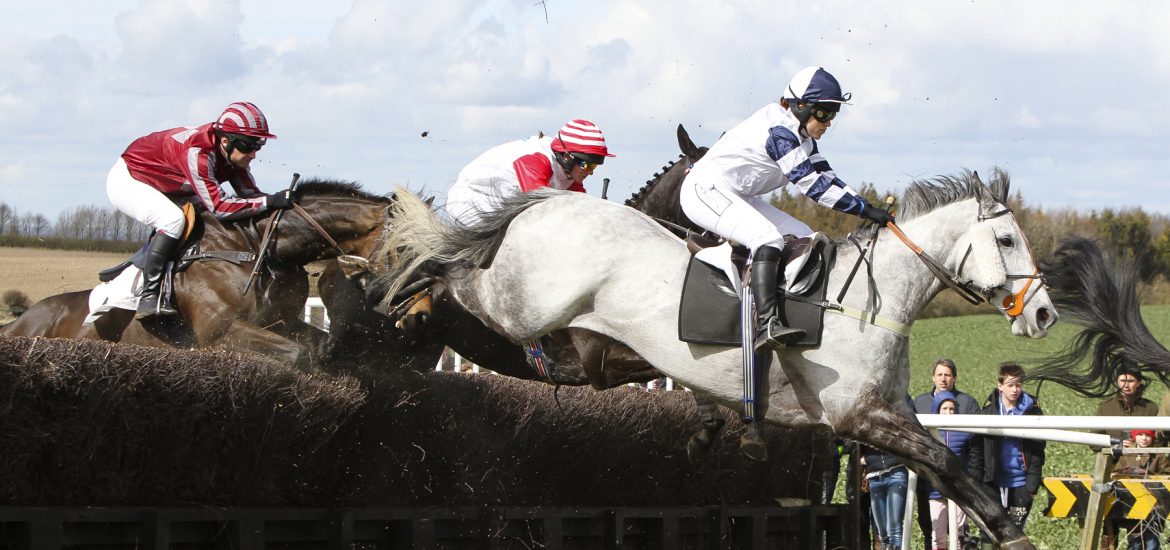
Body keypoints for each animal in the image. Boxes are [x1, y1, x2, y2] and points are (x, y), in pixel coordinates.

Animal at [0, 180, 395, 369]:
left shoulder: (280, 321)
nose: (389, 299)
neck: (258, 246)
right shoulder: (219, 334)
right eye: (400, 247)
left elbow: (319, 346)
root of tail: (18, 323)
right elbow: (299, 355)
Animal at [376, 169, 1062, 547]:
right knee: (457, 274)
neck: (872, 299)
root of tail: (545, 202)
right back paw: (407, 284)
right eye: (1007, 239)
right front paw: (1009, 528)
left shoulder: (890, 412)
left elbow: (947, 469)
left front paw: (1004, 527)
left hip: (563, 329)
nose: (1044, 315)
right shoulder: (856, 417)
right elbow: (948, 461)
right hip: (519, 304)